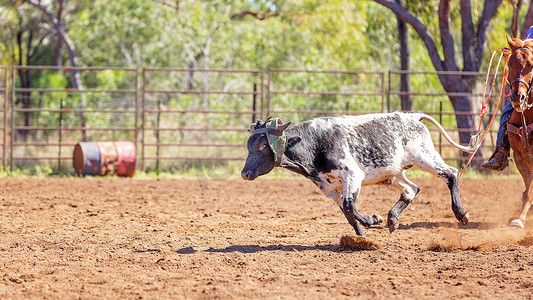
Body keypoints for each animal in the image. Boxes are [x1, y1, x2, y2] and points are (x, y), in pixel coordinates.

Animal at [241, 112, 478, 237]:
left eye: (262, 146)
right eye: (249, 145)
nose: (245, 173)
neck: (314, 143)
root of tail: (412, 116)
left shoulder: (352, 175)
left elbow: (349, 207)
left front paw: (370, 223)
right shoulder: (331, 189)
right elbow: (348, 212)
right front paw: (365, 231)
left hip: (425, 158)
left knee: (451, 174)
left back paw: (461, 214)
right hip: (392, 173)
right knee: (412, 189)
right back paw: (392, 219)